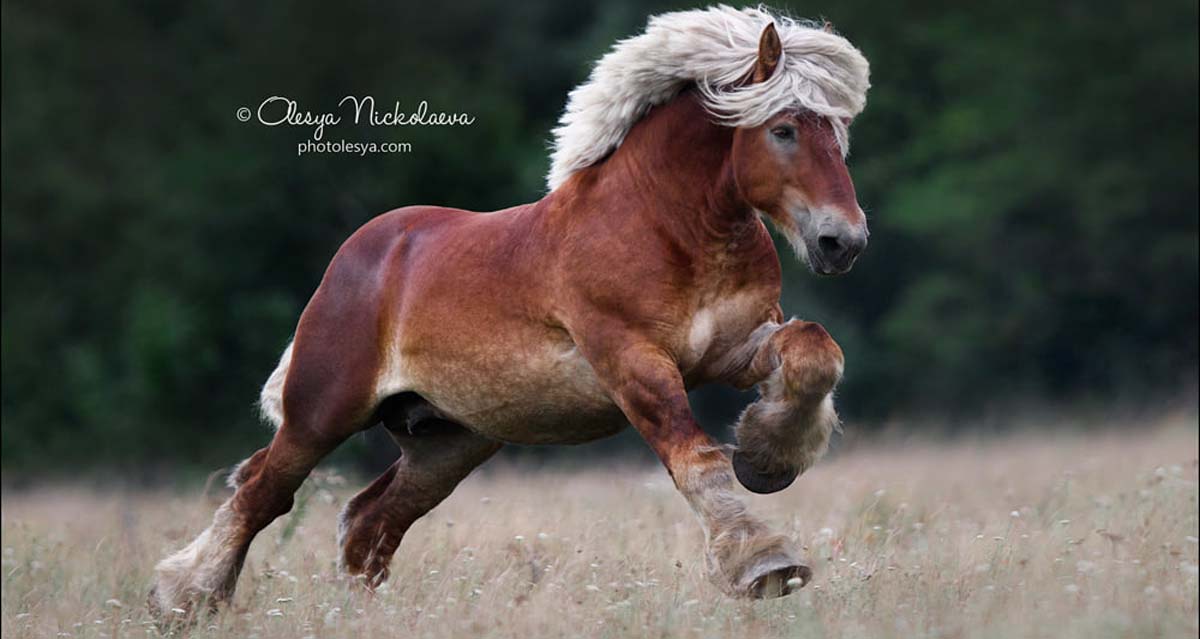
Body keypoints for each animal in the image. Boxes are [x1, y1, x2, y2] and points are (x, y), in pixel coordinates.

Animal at [150, 4, 873, 619]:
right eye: (783, 130)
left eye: (839, 133)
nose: (844, 242)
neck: (666, 225)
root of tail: (357, 257)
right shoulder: (631, 360)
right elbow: (692, 453)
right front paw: (766, 563)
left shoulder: (732, 346)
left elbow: (815, 352)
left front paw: (769, 457)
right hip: (322, 412)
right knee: (262, 492)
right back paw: (181, 597)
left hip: (448, 439)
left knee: (368, 521)